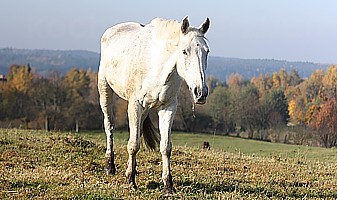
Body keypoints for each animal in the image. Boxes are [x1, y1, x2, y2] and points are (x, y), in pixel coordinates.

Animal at [96, 16, 210, 193]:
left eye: (207, 51)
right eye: (184, 51)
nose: (201, 93)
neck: (156, 66)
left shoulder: (168, 108)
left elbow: (166, 147)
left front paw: (168, 185)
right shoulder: (135, 105)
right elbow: (133, 144)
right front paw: (131, 181)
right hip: (105, 90)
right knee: (109, 126)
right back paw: (110, 166)